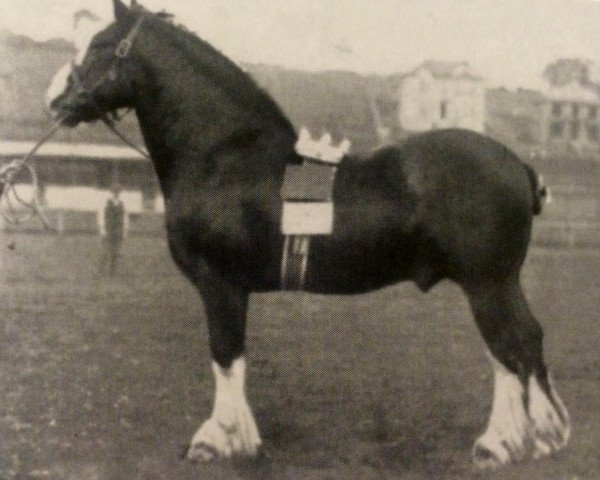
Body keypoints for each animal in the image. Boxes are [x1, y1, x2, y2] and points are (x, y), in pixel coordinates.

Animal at [48, 0, 572, 468]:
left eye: (100, 45)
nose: (55, 100)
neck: (226, 156)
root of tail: (518, 165)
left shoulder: (220, 284)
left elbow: (225, 355)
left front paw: (219, 441)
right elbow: (233, 357)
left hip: (489, 283)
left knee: (515, 344)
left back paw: (516, 440)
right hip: (491, 284)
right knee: (513, 348)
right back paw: (522, 438)